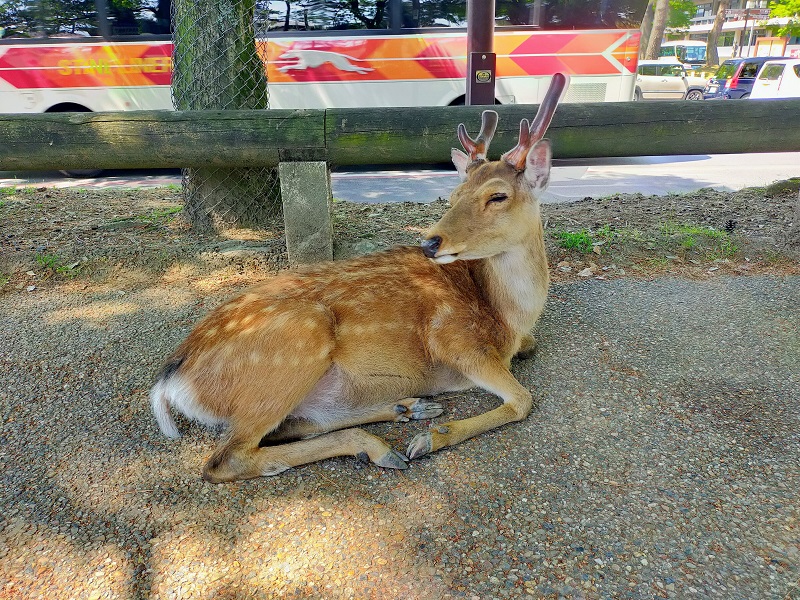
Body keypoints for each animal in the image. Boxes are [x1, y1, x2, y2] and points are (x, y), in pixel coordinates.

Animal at [145, 72, 568, 482]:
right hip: (297, 342)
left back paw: (407, 408)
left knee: (290, 426)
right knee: (227, 459)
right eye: (453, 195)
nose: (430, 242)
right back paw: (381, 444)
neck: (506, 316)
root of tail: (170, 383)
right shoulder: (456, 342)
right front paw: (430, 440)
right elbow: (522, 400)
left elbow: (531, 349)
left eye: (498, 196)